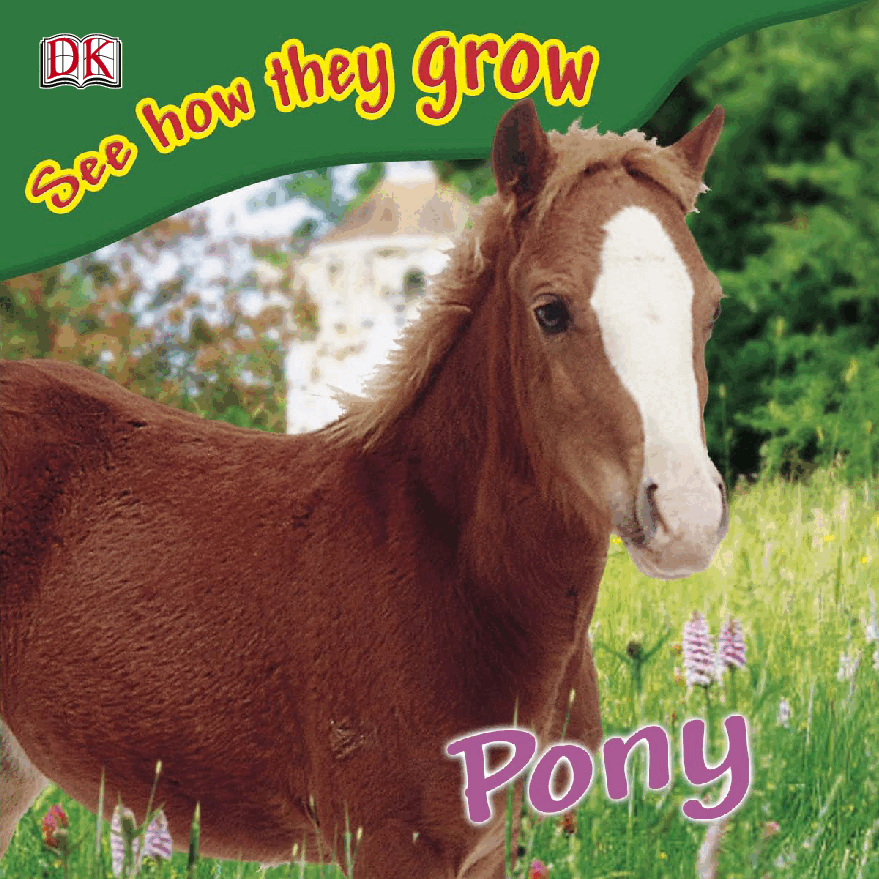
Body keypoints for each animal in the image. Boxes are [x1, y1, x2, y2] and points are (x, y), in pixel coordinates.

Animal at [1, 99, 728, 877]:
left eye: (711, 307)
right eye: (550, 309)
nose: (685, 515)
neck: (438, 561)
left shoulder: (498, 845)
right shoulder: (388, 844)